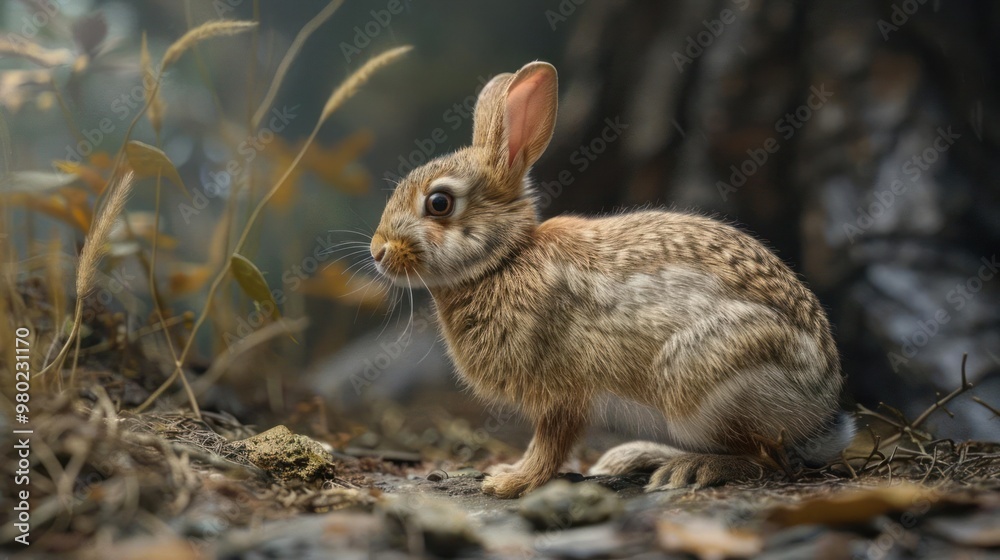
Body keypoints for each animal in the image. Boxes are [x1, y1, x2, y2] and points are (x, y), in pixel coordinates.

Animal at [369, 61, 854, 499]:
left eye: (439, 203)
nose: (378, 252)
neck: (505, 259)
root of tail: (822, 412)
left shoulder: (563, 392)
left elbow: (550, 444)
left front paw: (509, 482)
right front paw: (508, 473)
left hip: (701, 377)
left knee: (765, 458)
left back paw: (689, 469)